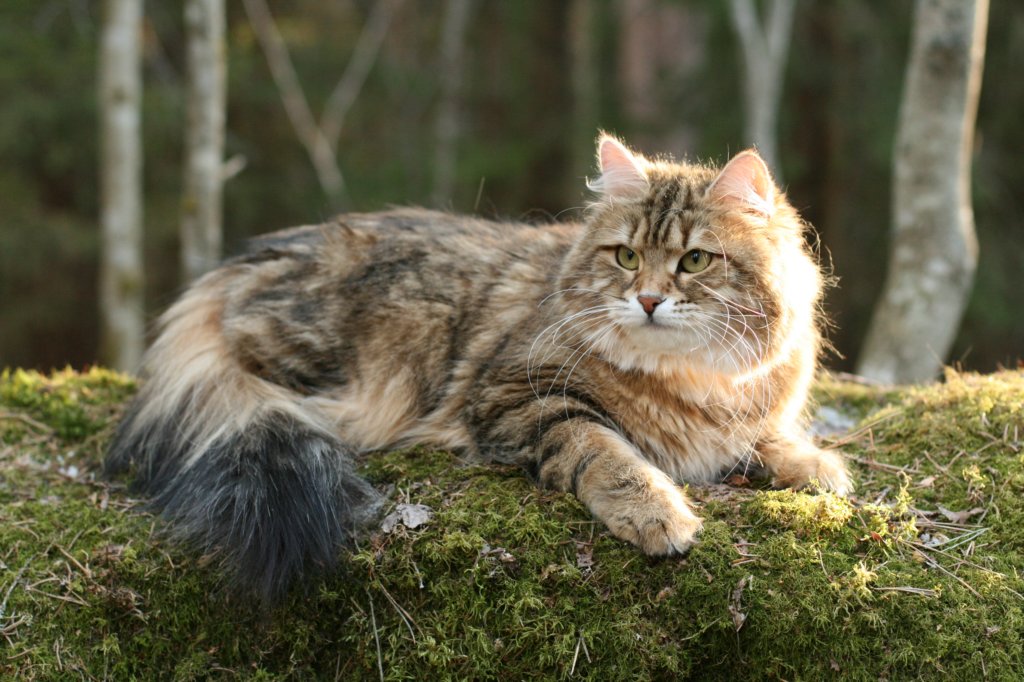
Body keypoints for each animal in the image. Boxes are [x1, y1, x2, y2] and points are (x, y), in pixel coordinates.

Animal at [106, 135, 851, 604]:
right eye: (626, 257)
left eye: (695, 261)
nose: (645, 299)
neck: (695, 381)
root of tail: (233, 269)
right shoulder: (522, 396)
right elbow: (608, 452)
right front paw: (658, 513)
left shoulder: (748, 410)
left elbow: (772, 440)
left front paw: (816, 467)